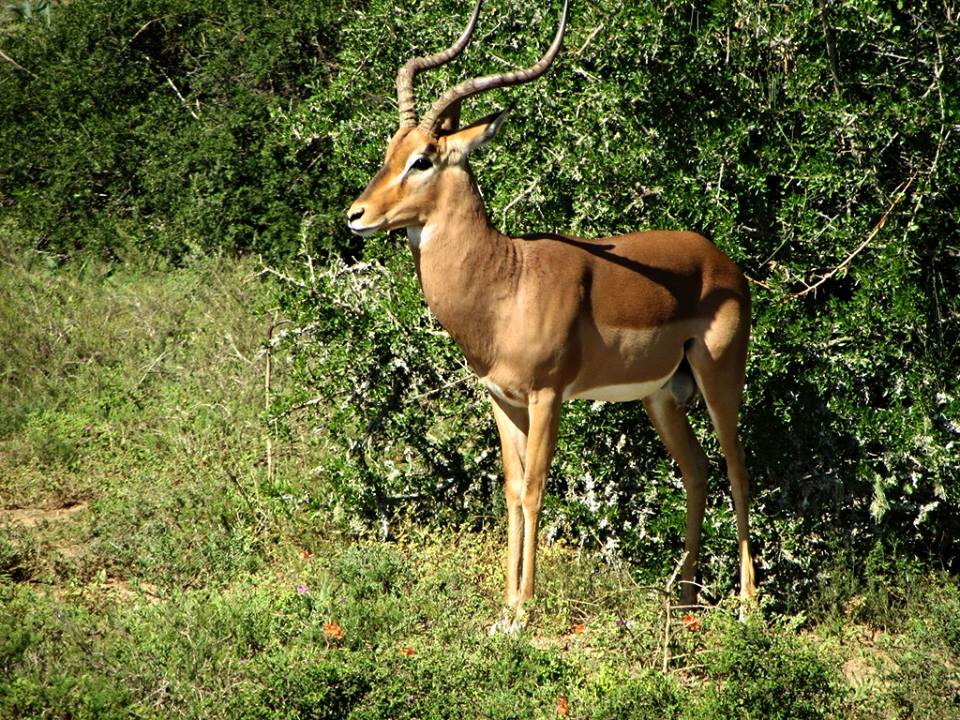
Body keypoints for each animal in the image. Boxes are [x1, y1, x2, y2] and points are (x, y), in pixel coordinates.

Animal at [347, 0, 757, 621]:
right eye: (390, 149)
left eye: (422, 160)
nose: (357, 214)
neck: (507, 283)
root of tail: (723, 262)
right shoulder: (502, 399)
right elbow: (513, 490)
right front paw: (504, 609)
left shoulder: (547, 396)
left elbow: (538, 487)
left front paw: (522, 611)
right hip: (662, 394)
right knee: (697, 470)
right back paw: (683, 602)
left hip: (719, 377)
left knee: (737, 468)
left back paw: (748, 605)